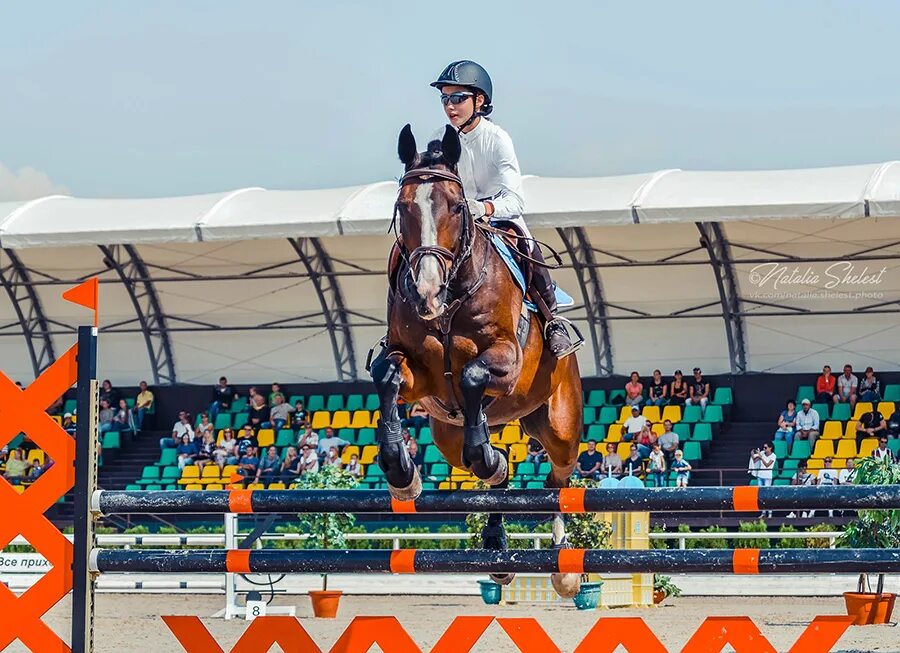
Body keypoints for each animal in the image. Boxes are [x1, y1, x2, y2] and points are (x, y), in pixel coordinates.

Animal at [370, 123, 588, 596]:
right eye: (402, 208)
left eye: (456, 206)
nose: (426, 292)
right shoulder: (420, 375)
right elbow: (388, 377)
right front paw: (401, 473)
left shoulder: (505, 360)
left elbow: (471, 375)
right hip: (447, 436)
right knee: (493, 475)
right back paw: (496, 538)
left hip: (560, 425)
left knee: (557, 482)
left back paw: (564, 567)